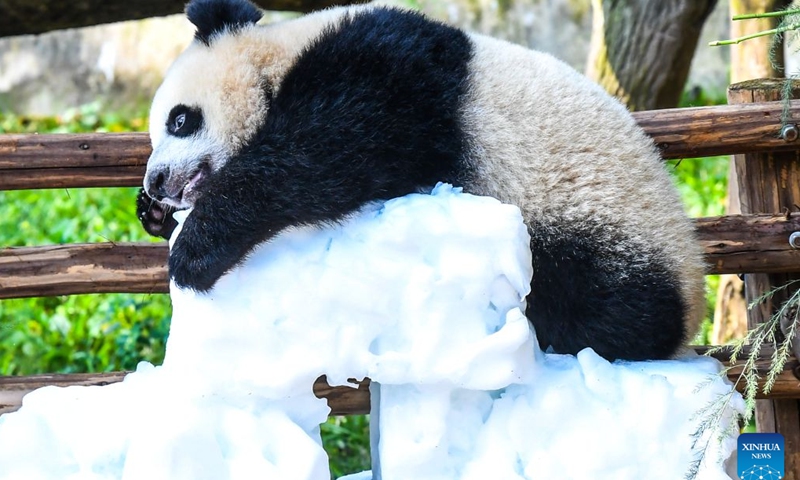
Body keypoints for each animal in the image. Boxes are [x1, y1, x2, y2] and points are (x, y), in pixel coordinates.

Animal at [136, 0, 707, 362]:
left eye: (181, 120)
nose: (158, 181)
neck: (282, 53)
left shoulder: (389, 73)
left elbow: (325, 154)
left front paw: (195, 249)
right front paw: (154, 216)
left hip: (601, 225)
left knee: (606, 307)